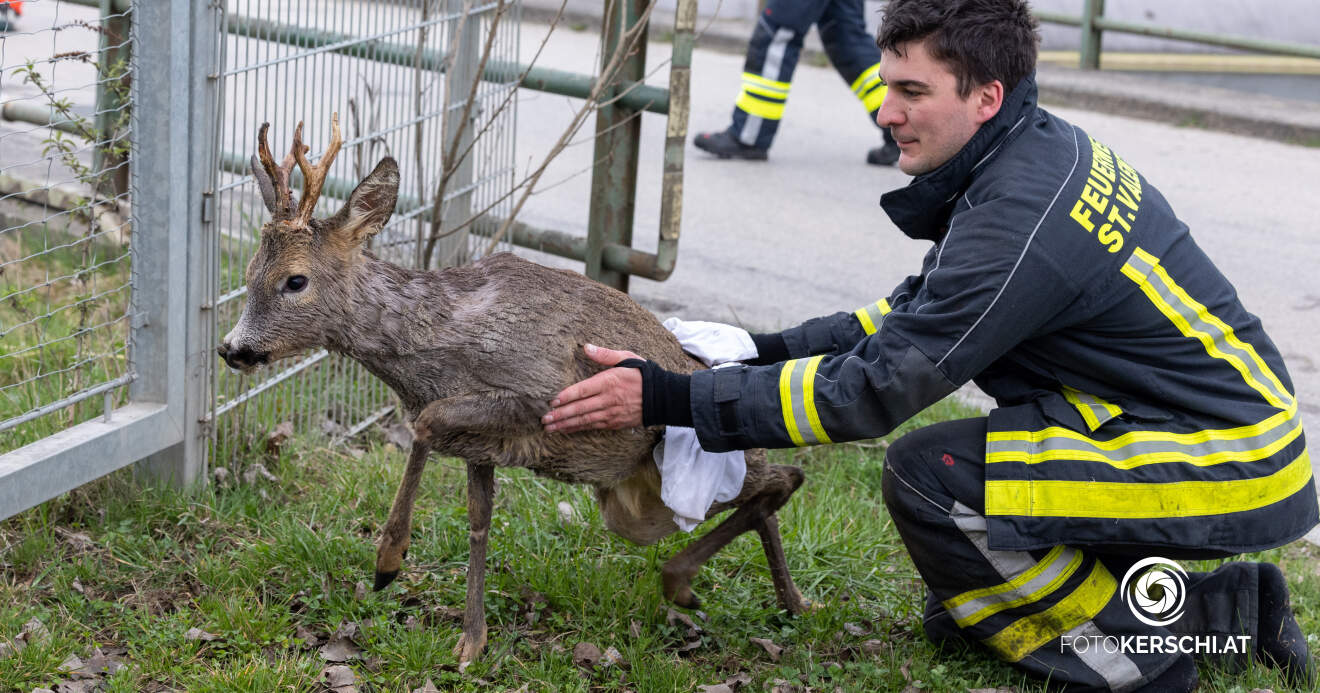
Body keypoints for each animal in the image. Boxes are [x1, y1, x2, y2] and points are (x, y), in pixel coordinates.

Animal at [219, 116, 802, 662]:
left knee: (785, 477)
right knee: (770, 490)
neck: (441, 340)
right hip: (632, 504)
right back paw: (772, 600)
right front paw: (470, 640)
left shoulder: (538, 393)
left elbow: (426, 423)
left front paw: (389, 561)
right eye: (248, 271)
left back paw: (708, 588)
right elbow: (478, 516)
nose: (232, 348)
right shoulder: (481, 443)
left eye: (295, 280)